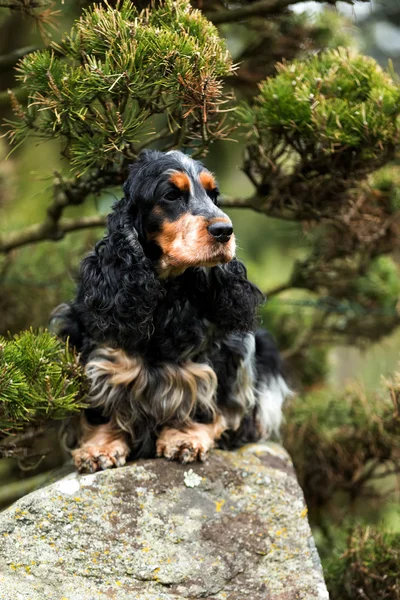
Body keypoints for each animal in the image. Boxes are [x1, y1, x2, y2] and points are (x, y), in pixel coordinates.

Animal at [50, 148, 290, 472]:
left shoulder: (221, 355)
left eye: (213, 195)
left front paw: (185, 438)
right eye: (171, 195)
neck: (164, 296)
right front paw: (100, 446)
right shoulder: (97, 353)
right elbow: (100, 403)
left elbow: (207, 399)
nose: (225, 231)